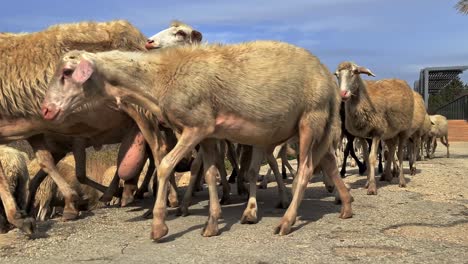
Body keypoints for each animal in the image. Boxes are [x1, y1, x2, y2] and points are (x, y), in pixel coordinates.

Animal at [42, 40, 352, 240]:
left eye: (67, 73)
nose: (46, 110)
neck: (158, 80)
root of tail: (328, 80)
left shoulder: (195, 126)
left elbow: (165, 165)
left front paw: (159, 226)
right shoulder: (209, 133)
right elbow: (212, 174)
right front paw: (212, 224)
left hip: (310, 119)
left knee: (305, 170)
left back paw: (287, 222)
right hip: (315, 126)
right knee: (329, 164)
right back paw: (346, 205)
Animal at [336, 61, 416, 194]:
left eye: (354, 72)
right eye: (336, 75)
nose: (343, 94)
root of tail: (400, 81)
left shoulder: (377, 133)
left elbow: (372, 157)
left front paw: (372, 187)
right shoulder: (362, 135)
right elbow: (366, 157)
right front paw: (367, 182)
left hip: (403, 131)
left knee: (399, 153)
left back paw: (401, 180)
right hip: (390, 133)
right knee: (391, 149)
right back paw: (388, 175)